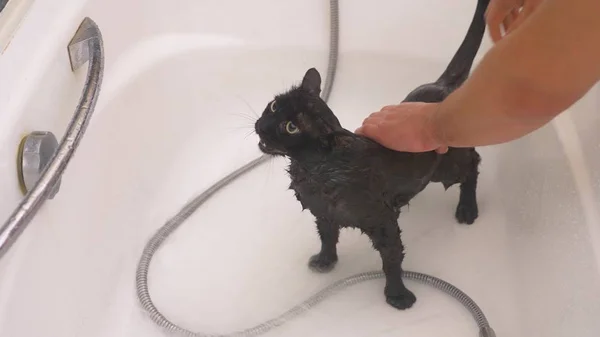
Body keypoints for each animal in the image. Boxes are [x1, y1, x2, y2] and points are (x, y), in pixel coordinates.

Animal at [253, 0, 488, 310]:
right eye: (274, 105)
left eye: (291, 127)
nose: (261, 126)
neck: (312, 172)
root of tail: (442, 87)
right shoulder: (323, 214)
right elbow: (327, 238)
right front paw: (325, 261)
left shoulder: (383, 222)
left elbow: (391, 260)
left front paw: (398, 295)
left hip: (447, 166)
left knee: (473, 164)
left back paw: (467, 209)